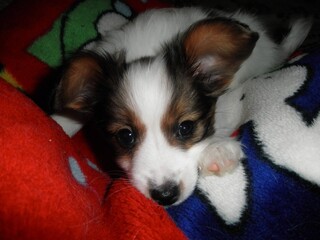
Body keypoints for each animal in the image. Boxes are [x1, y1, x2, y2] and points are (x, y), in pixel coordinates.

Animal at [51, 7, 312, 206]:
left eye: (186, 127)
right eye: (125, 136)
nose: (165, 195)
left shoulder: (232, 93)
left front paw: (216, 149)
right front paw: (57, 123)